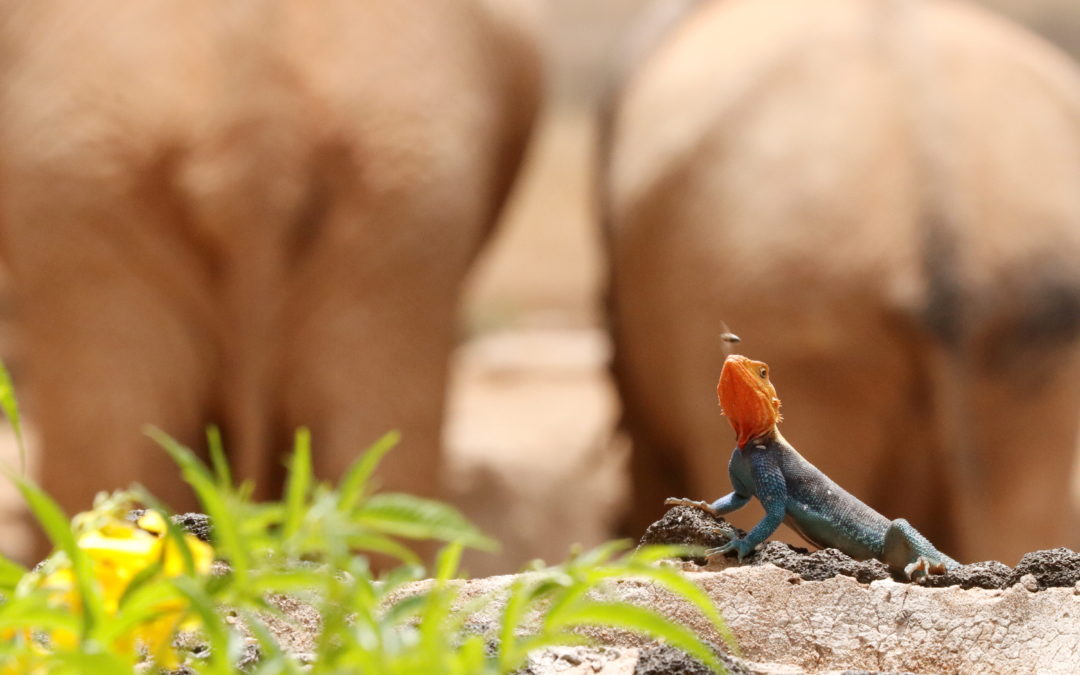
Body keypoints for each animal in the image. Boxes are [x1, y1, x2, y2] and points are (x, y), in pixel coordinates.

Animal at [604, 0, 1080, 561]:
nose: (733, 355)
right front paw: (698, 506)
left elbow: (765, 511)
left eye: (762, 370)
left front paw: (734, 545)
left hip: (800, 307)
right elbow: (730, 499)